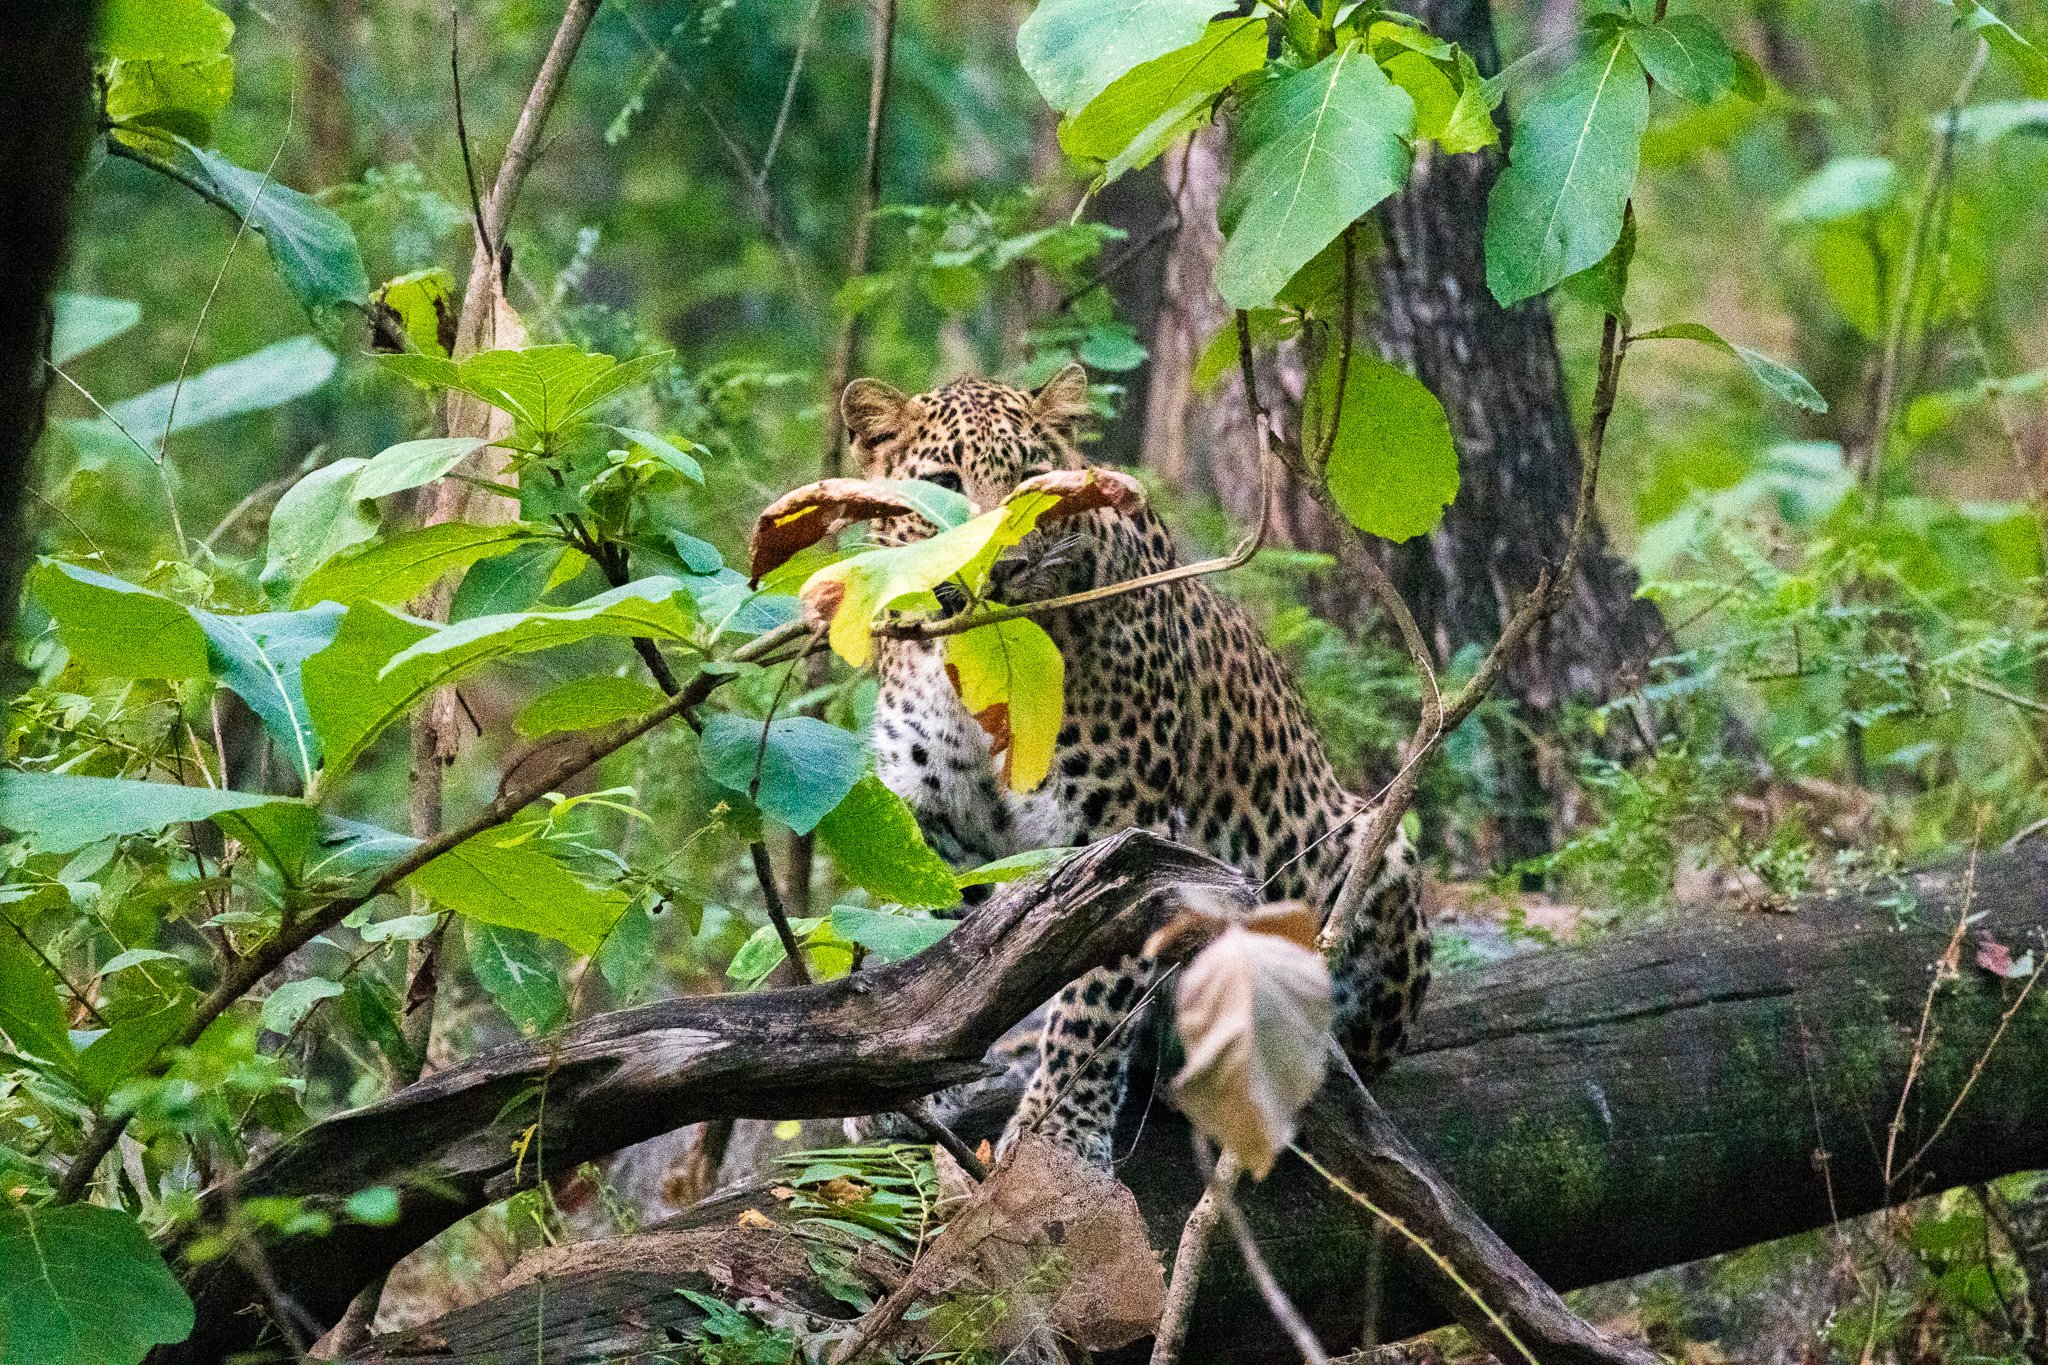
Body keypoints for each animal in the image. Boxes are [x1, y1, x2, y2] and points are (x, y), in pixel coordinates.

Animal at [839, 368, 1433, 1170]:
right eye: (942, 484)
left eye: (1032, 481)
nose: (1003, 565)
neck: (976, 667)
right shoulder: (933, 828)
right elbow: (923, 964)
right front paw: (899, 1091)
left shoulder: (1123, 837)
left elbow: (1094, 1003)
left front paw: (1058, 1131)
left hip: (1374, 846)